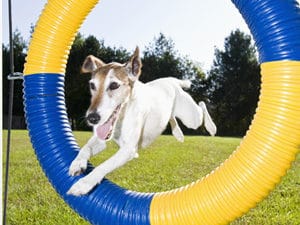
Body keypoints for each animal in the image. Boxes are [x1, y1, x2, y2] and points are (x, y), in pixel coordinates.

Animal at [66, 47, 216, 195]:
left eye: (114, 85)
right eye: (92, 85)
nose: (91, 118)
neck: (122, 117)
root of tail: (171, 80)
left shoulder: (128, 149)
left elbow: (104, 165)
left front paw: (84, 183)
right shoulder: (101, 139)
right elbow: (85, 148)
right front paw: (77, 163)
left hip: (192, 118)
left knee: (202, 104)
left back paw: (211, 127)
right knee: (172, 116)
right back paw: (178, 134)